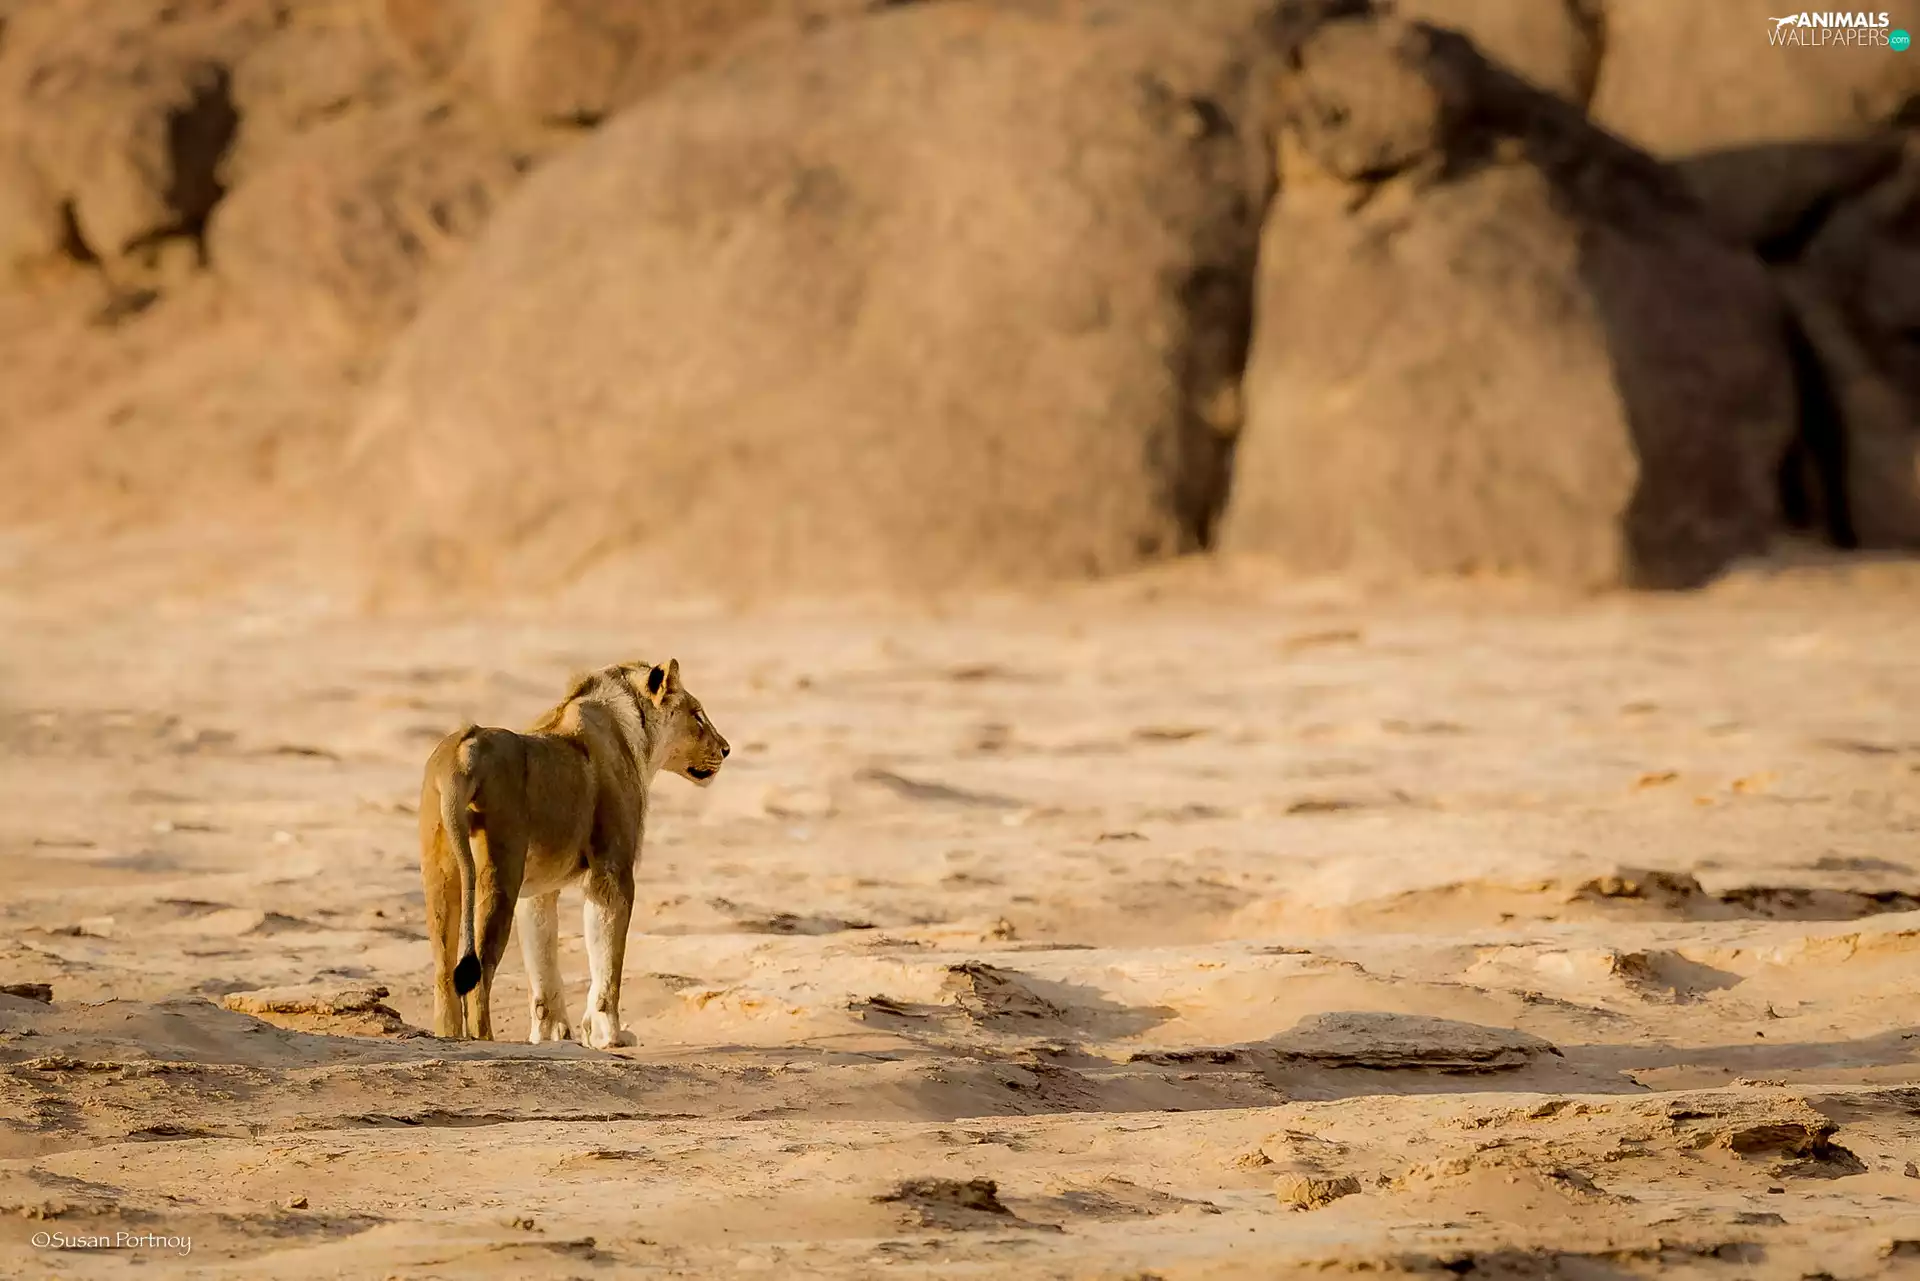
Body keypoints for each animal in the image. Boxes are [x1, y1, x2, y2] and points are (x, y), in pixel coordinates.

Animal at [417, 658, 729, 1048]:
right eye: (697, 715)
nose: (726, 749)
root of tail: (463, 749)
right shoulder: (612, 872)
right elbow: (607, 959)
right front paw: (610, 1035)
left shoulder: (538, 891)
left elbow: (543, 960)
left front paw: (552, 1034)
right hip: (499, 870)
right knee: (479, 976)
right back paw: (486, 1040)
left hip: (443, 873)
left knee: (444, 975)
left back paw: (450, 1038)